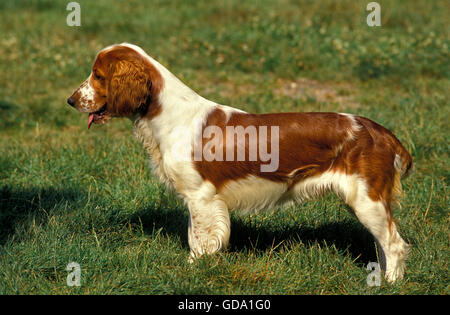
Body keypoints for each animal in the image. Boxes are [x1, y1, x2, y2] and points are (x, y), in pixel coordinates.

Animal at [67, 42, 412, 284]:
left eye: (97, 75)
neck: (167, 114)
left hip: (367, 199)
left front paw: (193, 270)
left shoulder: (201, 197)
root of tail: (382, 133)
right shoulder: (199, 199)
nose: (70, 100)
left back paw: (390, 283)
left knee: (395, 243)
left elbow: (199, 239)